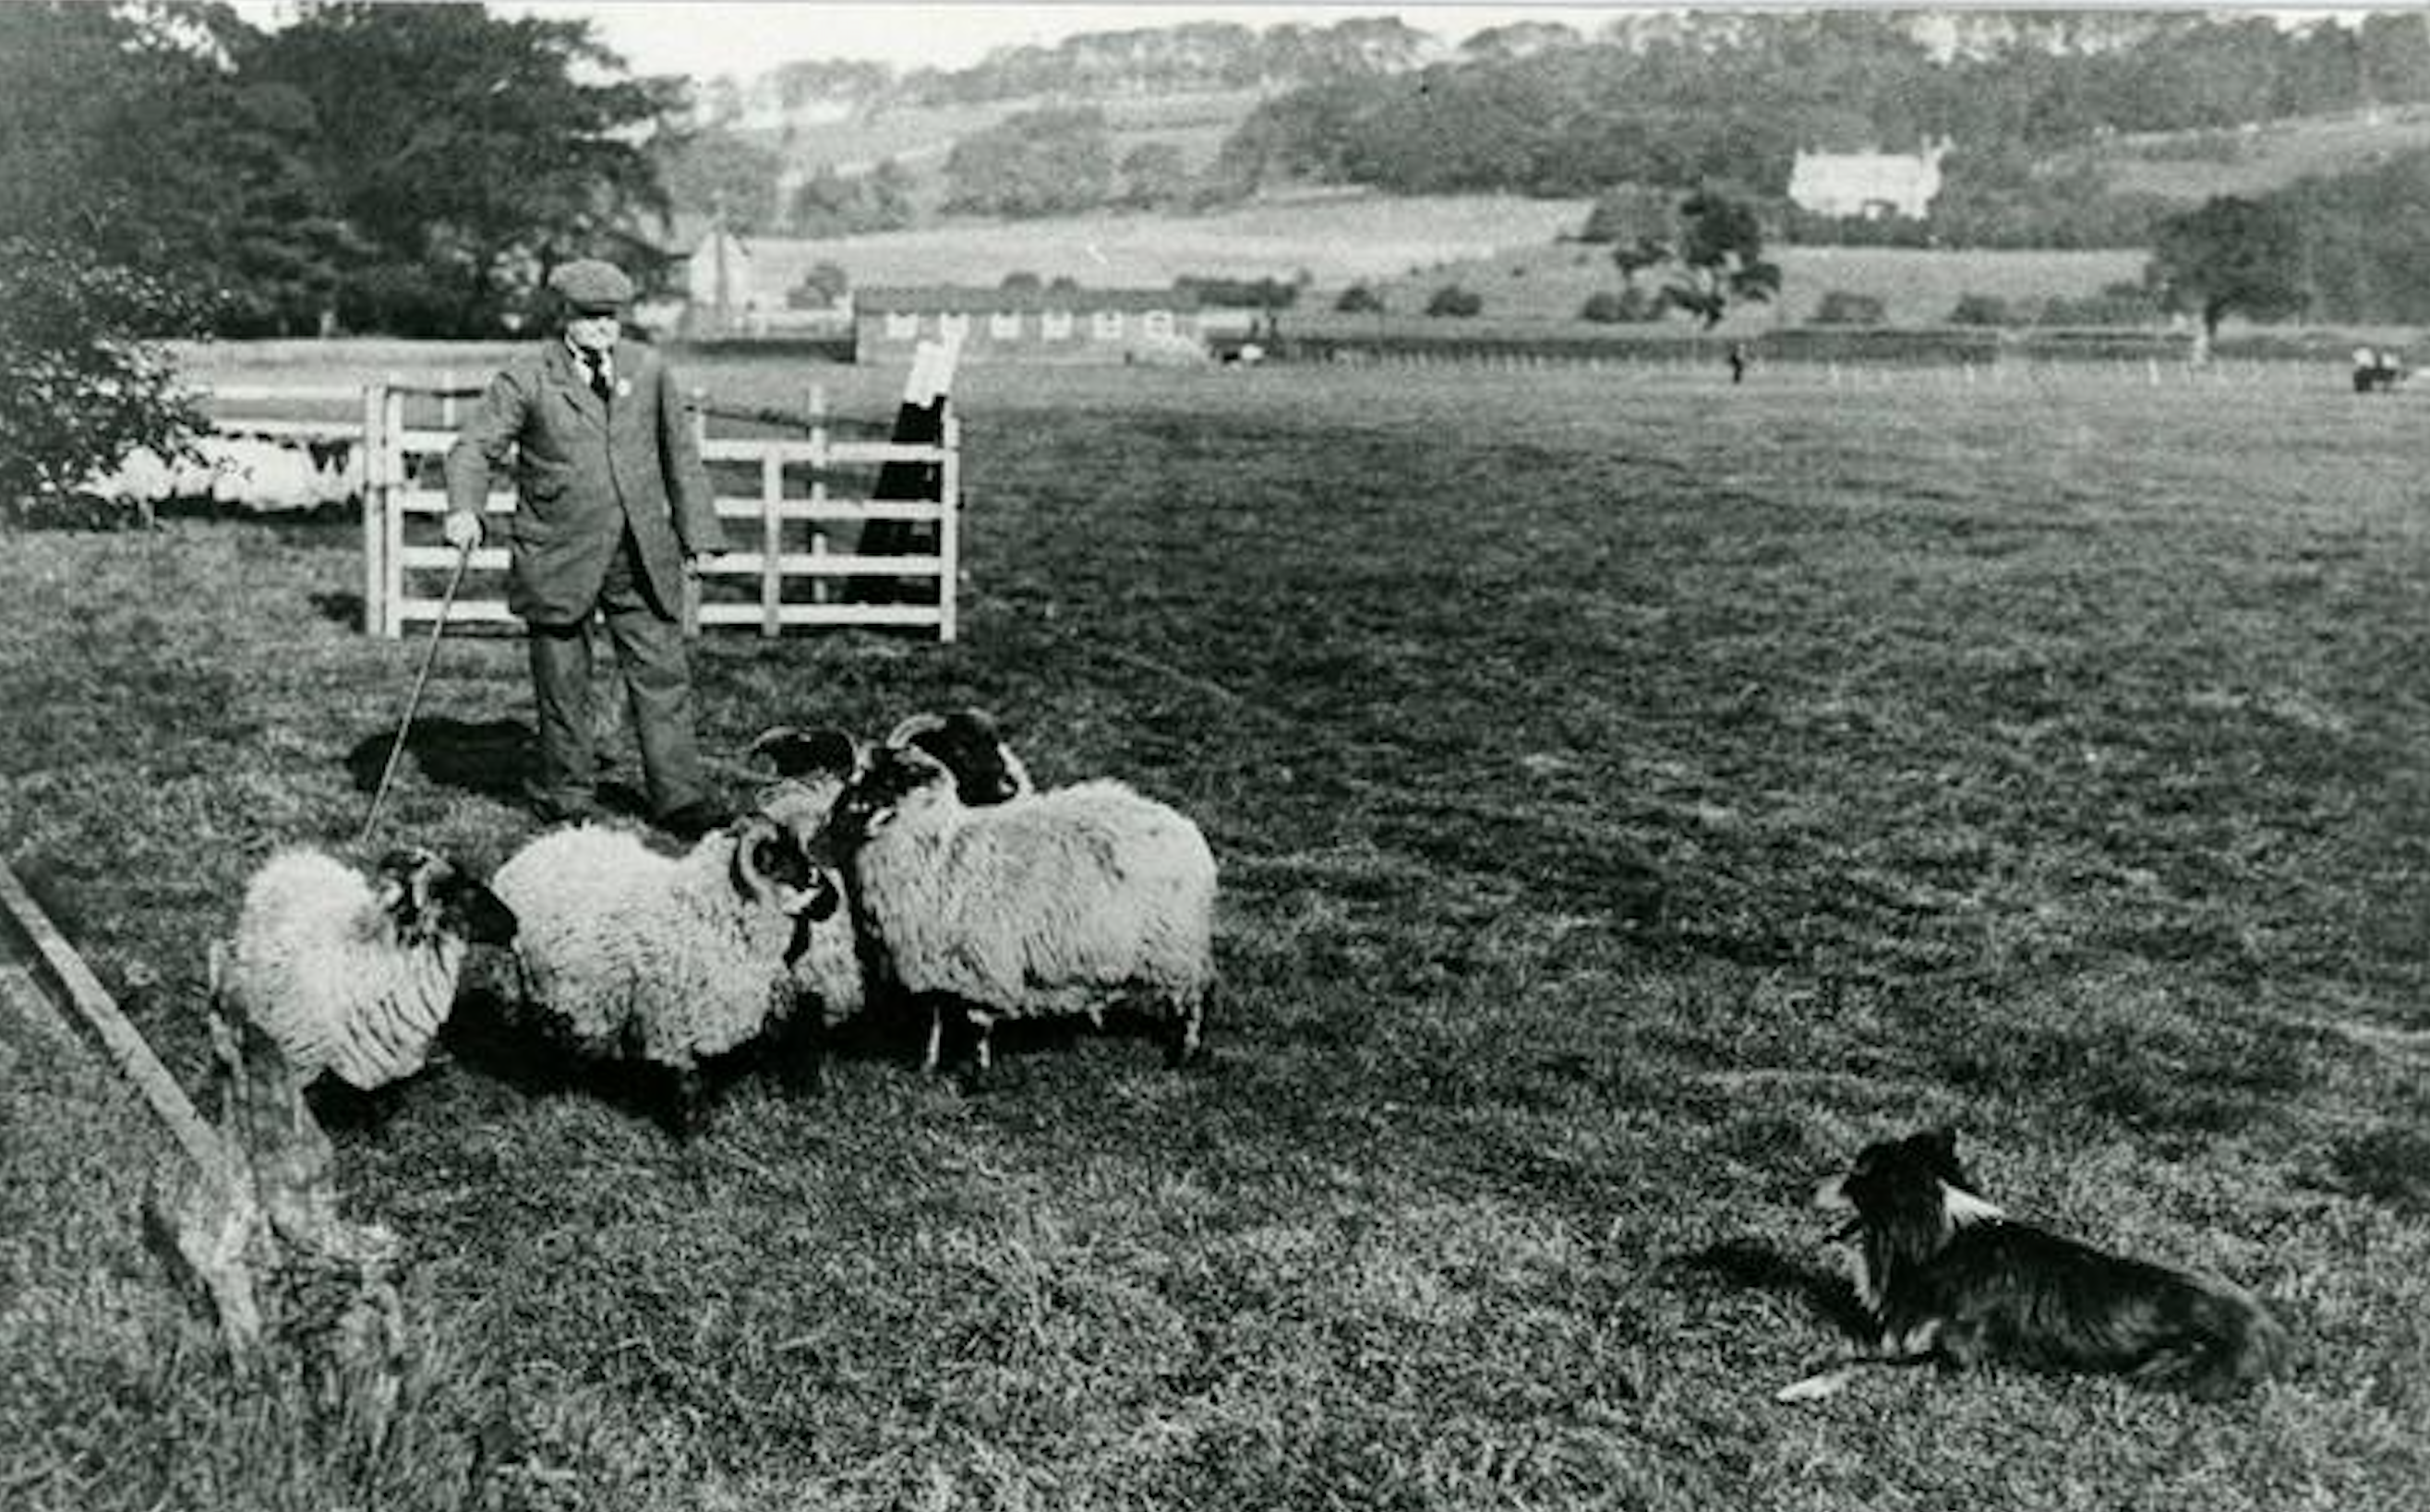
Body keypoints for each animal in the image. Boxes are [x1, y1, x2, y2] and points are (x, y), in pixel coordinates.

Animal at [1788, 1127, 2274, 1410]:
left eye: (1856, 1177)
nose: (1803, 1185)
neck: (1938, 1239)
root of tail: (2269, 1325)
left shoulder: (1960, 1356)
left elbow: (1866, 1363)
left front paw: (1805, 1385)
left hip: (2170, 1364)